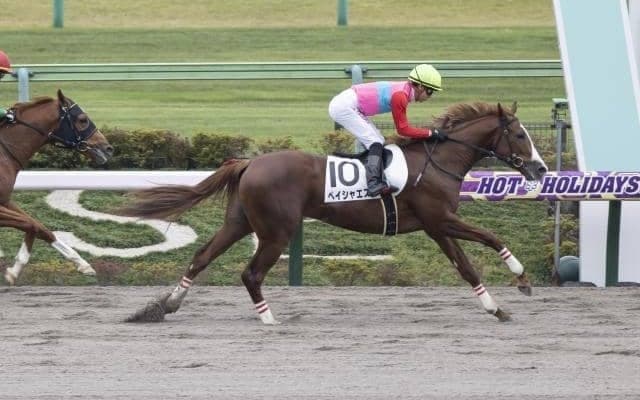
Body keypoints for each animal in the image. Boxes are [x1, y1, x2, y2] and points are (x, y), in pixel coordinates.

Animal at [1, 89, 114, 285]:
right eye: (82, 119)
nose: (107, 148)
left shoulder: (5, 201)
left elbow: (40, 227)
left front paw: (83, 264)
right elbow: (30, 224)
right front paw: (14, 269)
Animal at [120, 101, 548, 323]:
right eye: (520, 135)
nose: (541, 169)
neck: (438, 161)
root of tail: (249, 162)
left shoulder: (436, 227)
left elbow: (466, 267)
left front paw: (496, 307)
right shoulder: (440, 219)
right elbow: (492, 237)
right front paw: (522, 279)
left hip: (239, 222)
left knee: (201, 256)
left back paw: (166, 305)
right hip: (277, 231)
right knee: (250, 273)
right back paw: (268, 318)